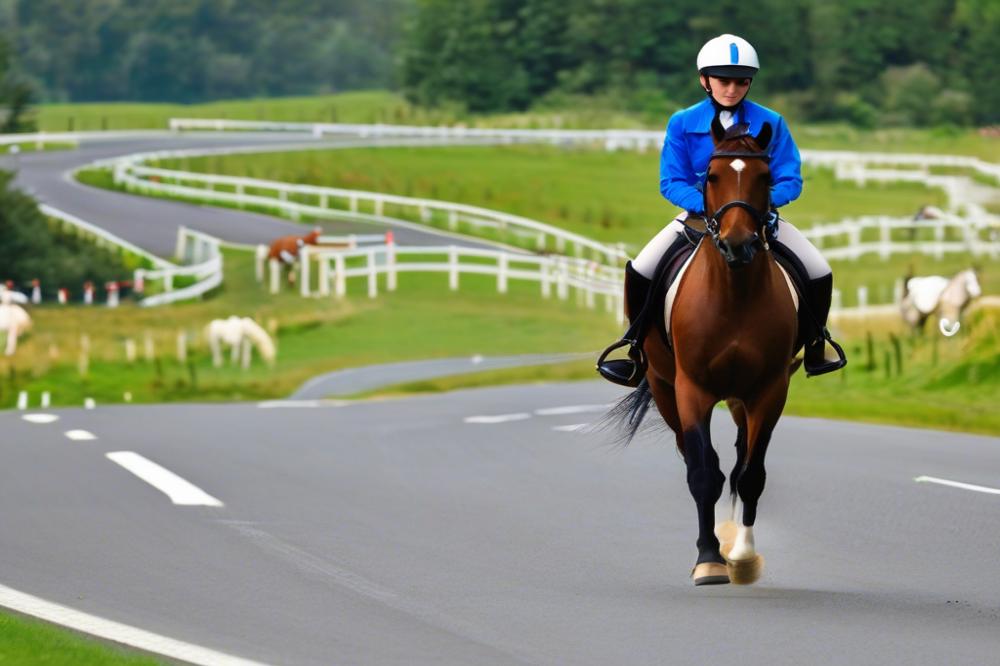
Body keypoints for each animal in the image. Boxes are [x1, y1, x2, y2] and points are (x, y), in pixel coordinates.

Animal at [600, 120, 804, 588]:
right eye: (710, 176)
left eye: (766, 177)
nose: (738, 245)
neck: (733, 293)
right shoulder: (691, 390)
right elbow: (703, 473)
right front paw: (709, 559)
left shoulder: (769, 391)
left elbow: (750, 475)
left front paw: (742, 556)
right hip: (665, 389)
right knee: (698, 459)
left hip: (741, 399)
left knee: (741, 459)